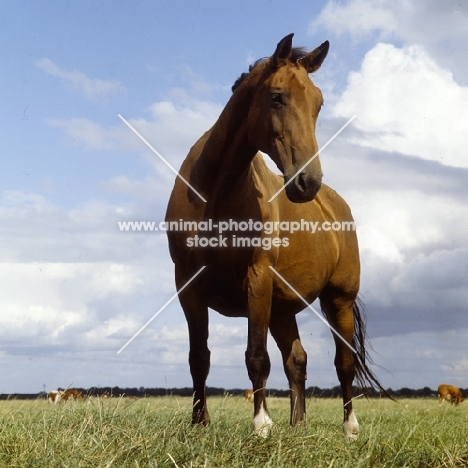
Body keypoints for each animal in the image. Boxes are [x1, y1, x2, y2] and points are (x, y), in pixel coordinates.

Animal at [166, 33, 386, 438]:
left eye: (319, 103)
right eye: (276, 96)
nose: (307, 182)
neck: (216, 194)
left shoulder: (258, 279)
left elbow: (256, 356)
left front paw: (262, 424)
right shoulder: (188, 287)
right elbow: (199, 358)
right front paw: (199, 423)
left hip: (338, 300)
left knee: (344, 363)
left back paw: (349, 427)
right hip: (283, 308)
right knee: (296, 360)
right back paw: (298, 425)